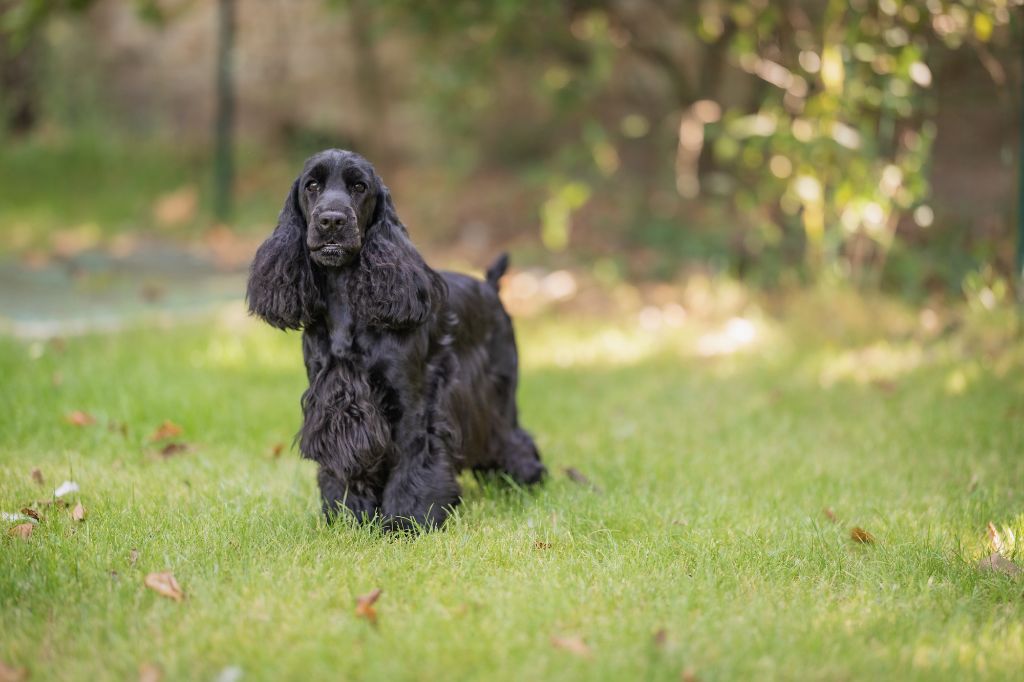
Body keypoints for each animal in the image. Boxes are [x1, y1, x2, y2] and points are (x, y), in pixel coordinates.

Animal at [246, 148, 544, 528]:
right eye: (312, 185)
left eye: (359, 186)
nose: (331, 221)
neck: (346, 301)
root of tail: (490, 288)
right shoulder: (334, 399)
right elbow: (346, 462)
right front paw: (349, 515)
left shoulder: (413, 401)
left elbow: (415, 459)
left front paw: (408, 520)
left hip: (500, 394)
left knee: (512, 436)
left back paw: (523, 480)